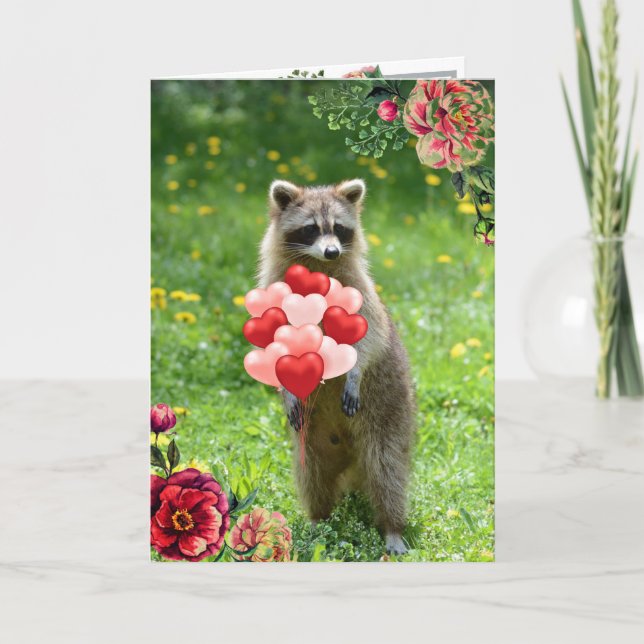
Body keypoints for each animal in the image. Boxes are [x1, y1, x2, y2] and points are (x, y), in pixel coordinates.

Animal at [258, 178, 416, 555]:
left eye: (339, 228)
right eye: (311, 228)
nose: (331, 252)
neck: (317, 266)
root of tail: (349, 457)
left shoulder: (359, 290)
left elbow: (370, 334)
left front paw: (354, 371)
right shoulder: (273, 285)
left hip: (389, 413)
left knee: (387, 470)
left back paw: (392, 526)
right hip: (310, 437)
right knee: (311, 474)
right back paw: (319, 519)